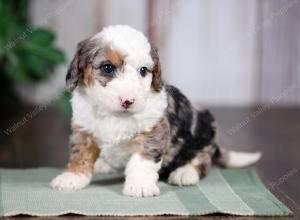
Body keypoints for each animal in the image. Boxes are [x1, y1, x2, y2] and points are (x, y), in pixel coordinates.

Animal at [49, 24, 260, 197]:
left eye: (143, 71)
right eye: (107, 68)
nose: (128, 100)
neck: (114, 115)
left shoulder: (152, 131)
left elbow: (142, 161)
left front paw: (140, 186)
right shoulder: (83, 129)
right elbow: (80, 154)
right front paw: (72, 177)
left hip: (204, 130)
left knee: (203, 160)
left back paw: (185, 173)